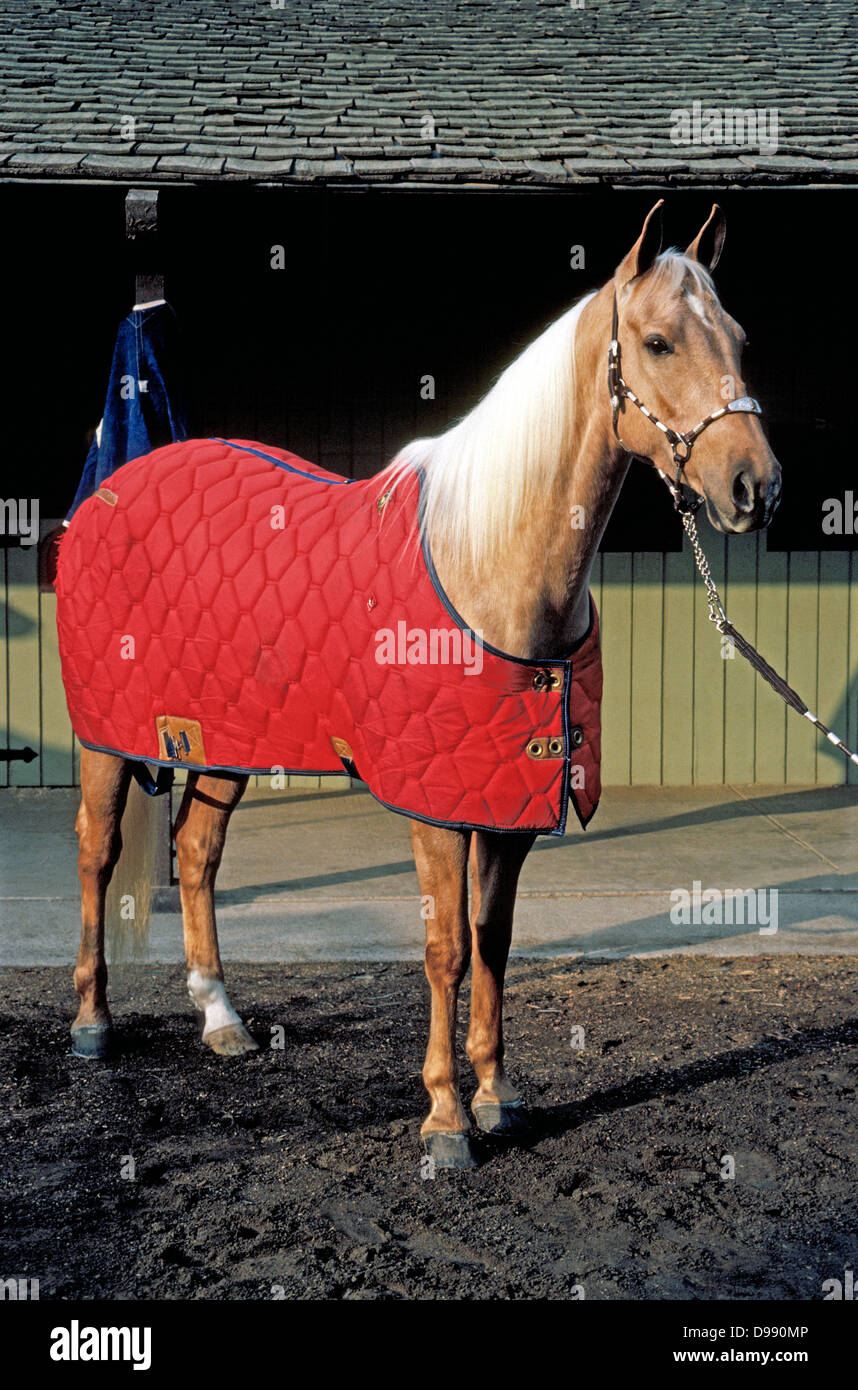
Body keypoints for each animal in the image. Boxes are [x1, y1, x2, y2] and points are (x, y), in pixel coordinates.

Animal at [65, 201, 778, 1167]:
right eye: (659, 342)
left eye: (736, 337)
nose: (755, 487)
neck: (487, 561)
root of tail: (112, 491)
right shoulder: (437, 806)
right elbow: (445, 950)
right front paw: (445, 1122)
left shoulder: (507, 799)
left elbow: (493, 943)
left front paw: (498, 1098)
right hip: (107, 741)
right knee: (98, 855)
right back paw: (92, 1024)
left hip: (222, 738)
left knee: (196, 850)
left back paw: (222, 1019)